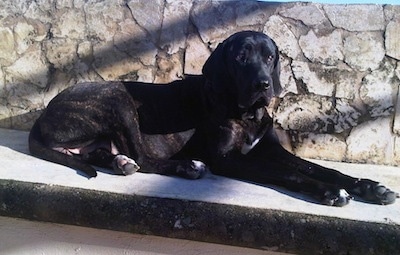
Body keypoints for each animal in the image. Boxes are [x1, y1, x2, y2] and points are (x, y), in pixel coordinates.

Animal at [29, 30, 398, 206]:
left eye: (270, 57)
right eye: (240, 57)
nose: (263, 84)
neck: (245, 113)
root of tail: (42, 115)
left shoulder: (270, 150)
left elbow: (320, 168)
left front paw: (370, 186)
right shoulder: (228, 159)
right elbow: (288, 175)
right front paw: (330, 192)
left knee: (111, 155)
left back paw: (119, 162)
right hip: (117, 98)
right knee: (144, 157)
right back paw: (185, 167)